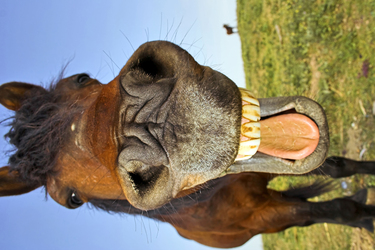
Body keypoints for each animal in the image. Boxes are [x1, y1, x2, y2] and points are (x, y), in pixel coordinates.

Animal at [0, 40, 375, 247]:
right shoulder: (266, 216)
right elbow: (334, 210)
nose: (149, 119)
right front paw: (367, 219)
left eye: (80, 78)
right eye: (72, 199)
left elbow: (340, 167)